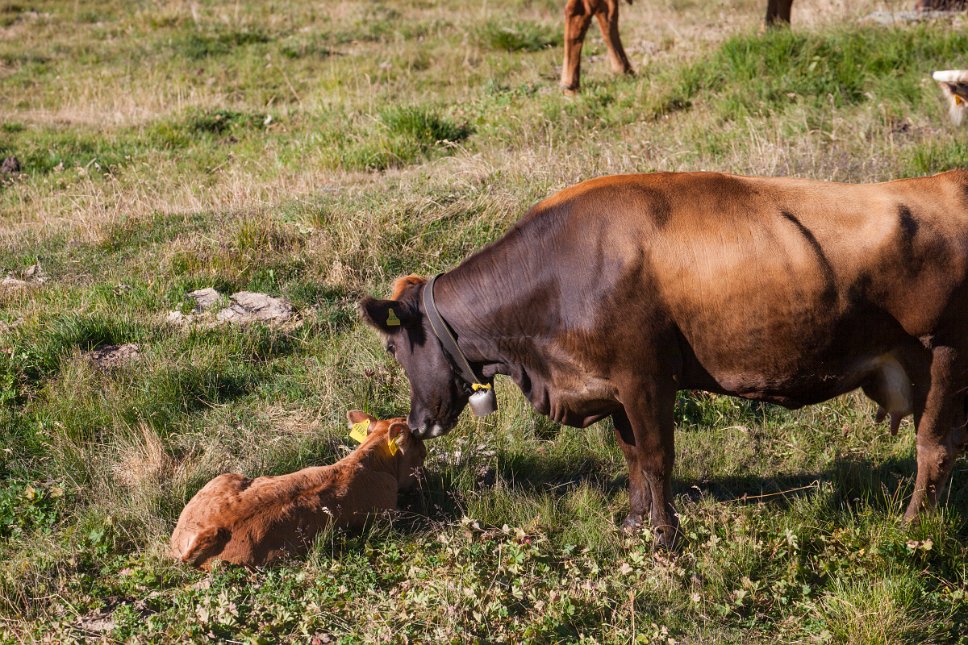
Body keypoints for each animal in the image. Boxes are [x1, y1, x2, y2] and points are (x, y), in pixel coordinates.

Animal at [364, 171, 968, 548]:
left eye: (394, 346)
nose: (419, 422)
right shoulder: (612, 386)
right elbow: (631, 456)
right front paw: (634, 524)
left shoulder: (647, 378)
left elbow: (656, 459)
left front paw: (665, 537)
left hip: (943, 355)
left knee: (935, 449)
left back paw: (911, 527)